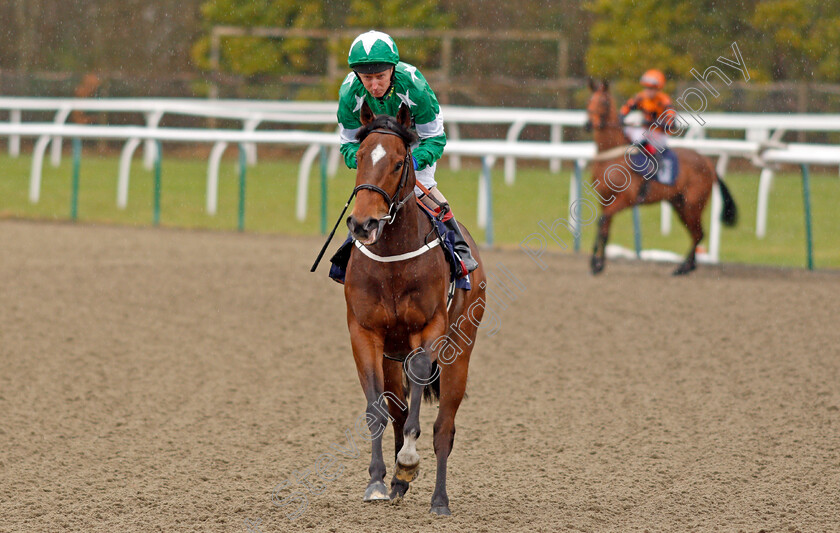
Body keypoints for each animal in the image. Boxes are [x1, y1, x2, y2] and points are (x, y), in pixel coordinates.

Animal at [342, 100, 486, 516]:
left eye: (396, 163)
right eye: (359, 157)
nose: (363, 223)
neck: (393, 260)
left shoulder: (431, 328)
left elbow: (421, 378)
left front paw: (407, 460)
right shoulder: (364, 333)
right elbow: (378, 409)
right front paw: (377, 480)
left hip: (460, 353)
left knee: (444, 428)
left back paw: (438, 499)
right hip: (392, 358)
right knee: (399, 409)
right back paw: (396, 485)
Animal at [584, 79, 736, 274]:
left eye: (603, 102)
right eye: (589, 101)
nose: (588, 124)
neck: (611, 155)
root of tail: (708, 162)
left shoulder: (626, 198)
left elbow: (602, 221)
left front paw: (595, 263)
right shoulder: (604, 199)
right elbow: (604, 228)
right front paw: (598, 263)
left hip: (693, 204)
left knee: (699, 233)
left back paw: (684, 267)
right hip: (679, 204)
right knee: (696, 233)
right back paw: (688, 266)